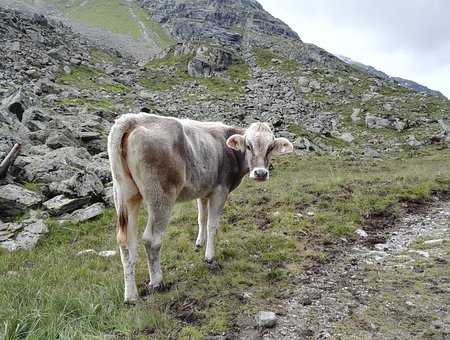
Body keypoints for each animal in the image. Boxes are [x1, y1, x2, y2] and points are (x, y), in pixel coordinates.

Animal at [107, 113, 294, 302]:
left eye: (270, 147)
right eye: (248, 146)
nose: (261, 173)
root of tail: (133, 119)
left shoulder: (204, 190)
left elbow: (201, 218)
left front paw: (199, 243)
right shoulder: (220, 190)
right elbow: (212, 224)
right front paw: (209, 256)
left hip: (126, 195)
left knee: (126, 243)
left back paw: (131, 294)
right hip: (160, 196)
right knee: (151, 240)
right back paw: (157, 282)